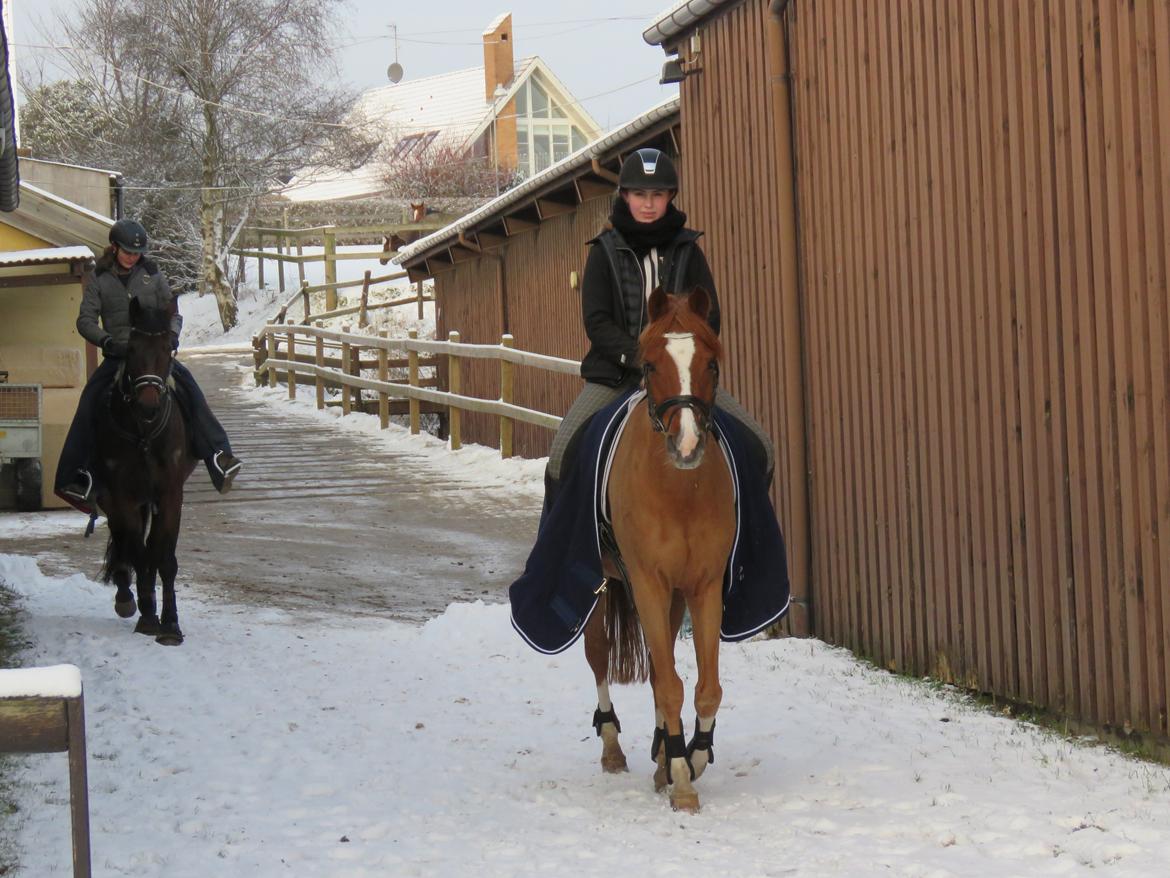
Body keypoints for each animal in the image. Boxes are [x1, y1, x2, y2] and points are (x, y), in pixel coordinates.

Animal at [94, 299, 195, 650]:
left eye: (168, 348)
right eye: (131, 348)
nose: (148, 405)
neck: (145, 434)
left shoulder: (170, 495)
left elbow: (164, 558)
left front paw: (171, 625)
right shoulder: (122, 496)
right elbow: (137, 552)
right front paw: (150, 618)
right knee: (125, 543)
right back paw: (128, 598)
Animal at [582, 285, 730, 814]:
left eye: (712, 364)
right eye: (648, 365)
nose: (686, 445)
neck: (678, 490)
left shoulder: (704, 586)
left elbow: (705, 689)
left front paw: (689, 758)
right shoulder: (646, 582)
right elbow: (668, 684)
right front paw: (683, 780)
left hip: (673, 596)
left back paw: (662, 752)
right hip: (604, 585)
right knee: (599, 654)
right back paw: (612, 748)